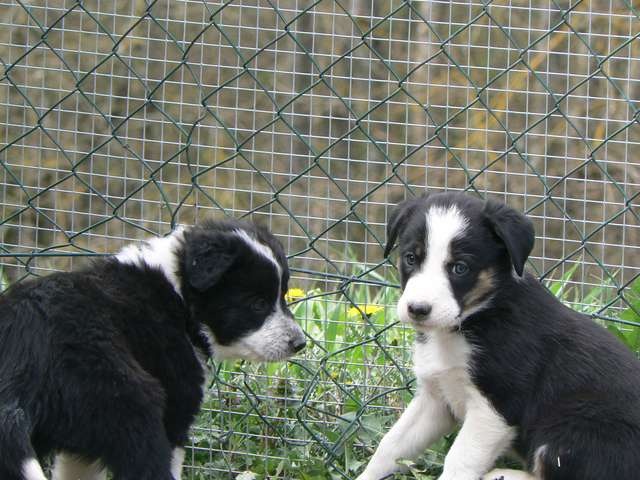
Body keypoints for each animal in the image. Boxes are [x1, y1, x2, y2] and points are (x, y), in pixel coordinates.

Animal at [0, 219, 308, 480]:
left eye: (283, 295)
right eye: (257, 304)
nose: (300, 344)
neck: (180, 295)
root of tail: (24, 350)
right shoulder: (177, 405)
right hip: (132, 403)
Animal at [358, 191, 640, 480]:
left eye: (460, 268)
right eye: (411, 258)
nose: (417, 309)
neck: (472, 320)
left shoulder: (497, 406)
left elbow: (458, 461)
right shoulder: (436, 399)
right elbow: (390, 446)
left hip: (571, 425)